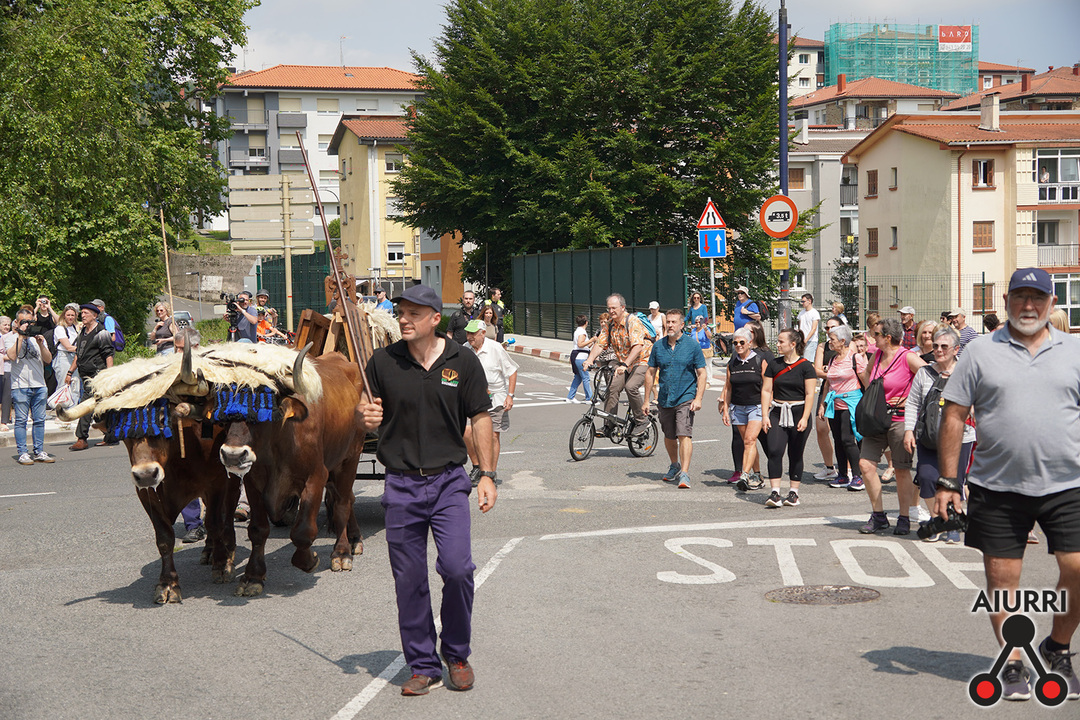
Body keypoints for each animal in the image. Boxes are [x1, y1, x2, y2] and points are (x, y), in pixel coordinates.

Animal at [218, 348, 366, 596]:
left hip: (351, 457)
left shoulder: (316, 476)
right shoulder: (253, 482)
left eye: (263, 409)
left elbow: (303, 531)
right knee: (345, 498)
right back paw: (353, 539)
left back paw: (343, 551)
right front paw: (253, 577)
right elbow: (258, 530)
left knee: (344, 503)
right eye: (224, 412)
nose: (232, 455)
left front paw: (309, 560)